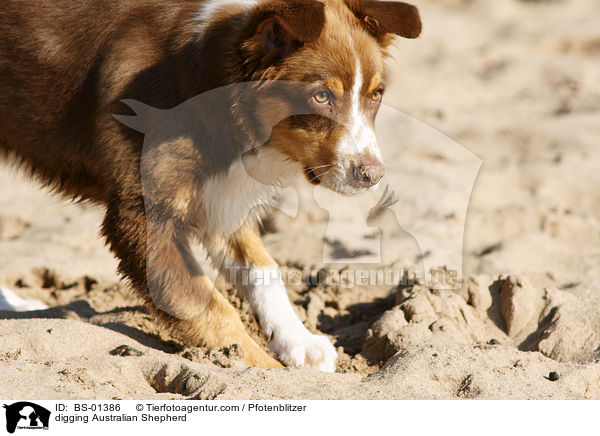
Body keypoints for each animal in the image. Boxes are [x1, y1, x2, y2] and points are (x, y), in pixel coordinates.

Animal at [0, 0, 422, 372]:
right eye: (321, 96)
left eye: (376, 95)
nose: (372, 176)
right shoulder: (142, 217)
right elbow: (205, 304)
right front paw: (262, 367)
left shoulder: (223, 196)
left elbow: (263, 268)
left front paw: (298, 340)